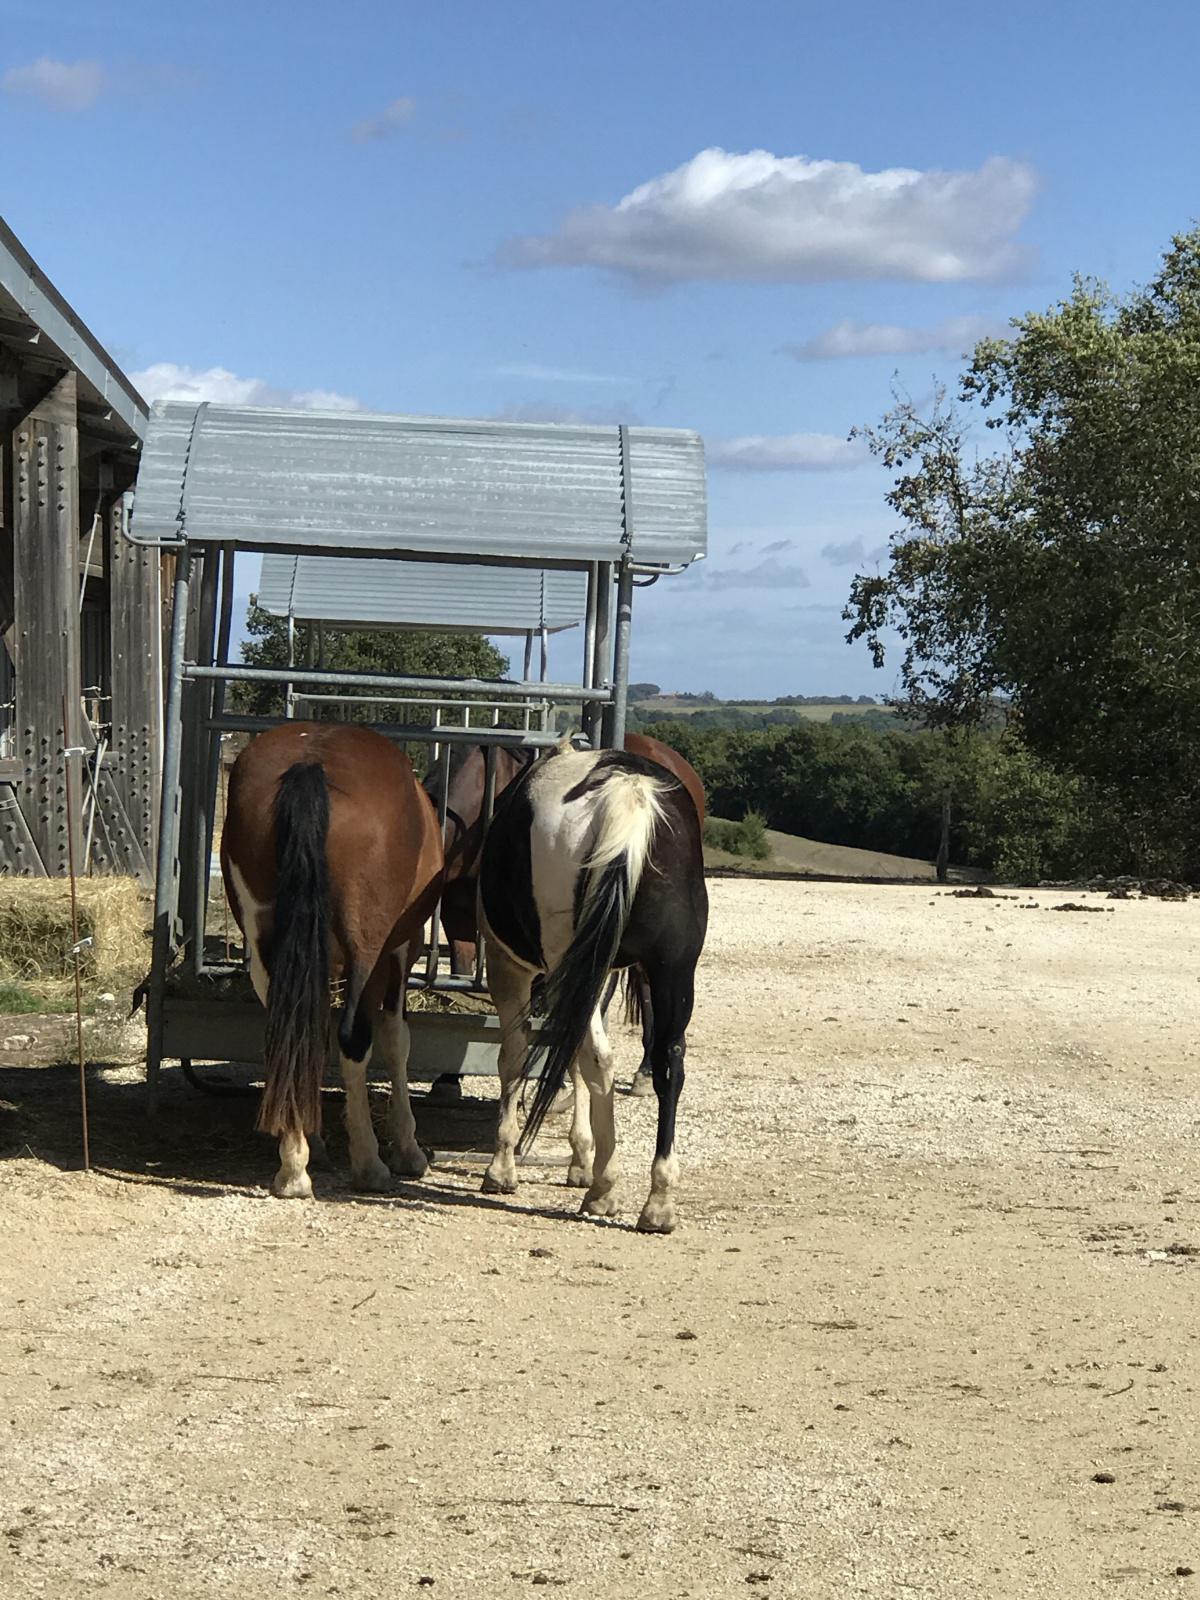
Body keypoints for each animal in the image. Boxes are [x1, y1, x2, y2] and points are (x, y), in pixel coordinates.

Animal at [220, 726, 441, 1203]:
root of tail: (312, 764)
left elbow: (313, 1039)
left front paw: (312, 1139)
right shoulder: (399, 951)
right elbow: (396, 1040)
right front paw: (408, 1149)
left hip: (267, 949)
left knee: (286, 1034)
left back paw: (293, 1167)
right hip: (367, 950)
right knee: (354, 1039)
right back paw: (368, 1164)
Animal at [476, 742, 704, 1228]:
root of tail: (627, 790)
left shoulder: (510, 969)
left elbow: (516, 1056)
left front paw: (502, 1166)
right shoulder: (597, 974)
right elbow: (571, 1057)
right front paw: (582, 1159)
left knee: (598, 1057)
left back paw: (604, 1190)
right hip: (673, 968)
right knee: (669, 1061)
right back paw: (658, 1201)